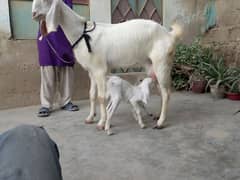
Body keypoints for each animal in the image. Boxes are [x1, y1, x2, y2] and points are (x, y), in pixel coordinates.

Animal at [31, 0, 182, 134]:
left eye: (46, 0)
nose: (34, 13)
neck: (83, 33)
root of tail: (169, 34)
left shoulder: (100, 70)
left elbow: (101, 97)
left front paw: (101, 123)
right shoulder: (91, 71)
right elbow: (92, 95)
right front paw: (90, 118)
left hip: (162, 62)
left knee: (166, 93)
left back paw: (160, 123)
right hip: (151, 65)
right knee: (161, 91)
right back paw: (158, 116)